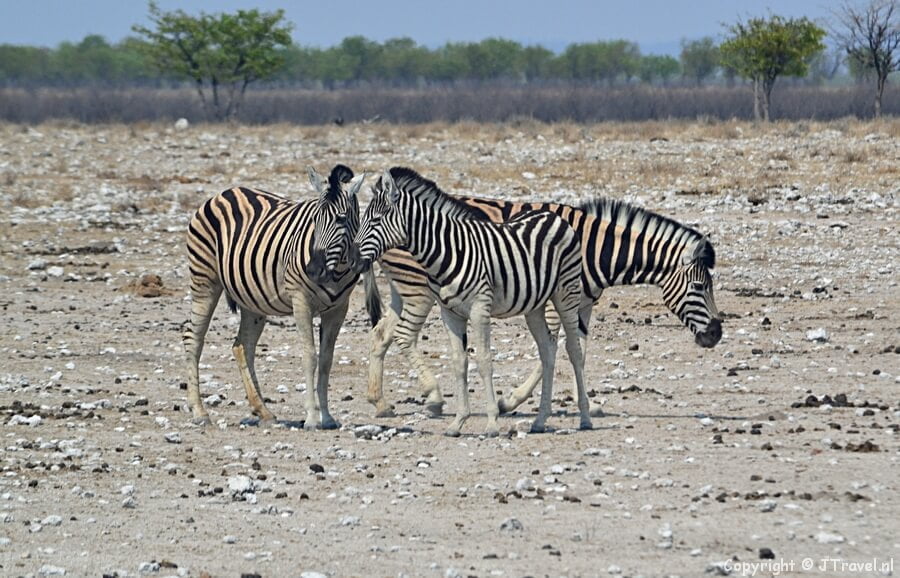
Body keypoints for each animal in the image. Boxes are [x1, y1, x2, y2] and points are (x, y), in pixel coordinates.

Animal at [183, 164, 369, 429]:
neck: (336, 270)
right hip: (204, 280)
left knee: (243, 346)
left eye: (341, 219)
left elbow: (326, 360)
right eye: (314, 219)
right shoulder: (300, 300)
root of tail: (224, 192)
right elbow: (310, 356)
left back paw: (263, 411)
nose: (314, 270)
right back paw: (199, 412)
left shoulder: (339, 308)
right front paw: (312, 418)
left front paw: (327, 416)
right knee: (193, 338)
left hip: (251, 298)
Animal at [354, 168, 592, 436]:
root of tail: (553, 215)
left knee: (573, 349)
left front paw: (492, 423)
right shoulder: (450, 313)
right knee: (548, 349)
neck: (446, 251)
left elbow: (484, 361)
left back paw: (585, 417)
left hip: (566, 293)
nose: (353, 258)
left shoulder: (480, 309)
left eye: (375, 221)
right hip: (535, 305)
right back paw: (540, 420)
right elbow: (459, 363)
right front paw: (458, 422)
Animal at [364, 193, 722, 418]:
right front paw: (510, 400)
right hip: (418, 288)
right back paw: (434, 397)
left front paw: (585, 404)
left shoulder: (583, 304)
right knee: (403, 336)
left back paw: (380, 402)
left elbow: (579, 350)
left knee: (381, 334)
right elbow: (551, 350)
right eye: (700, 287)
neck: (596, 249)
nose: (716, 335)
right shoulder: (551, 301)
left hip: (401, 289)